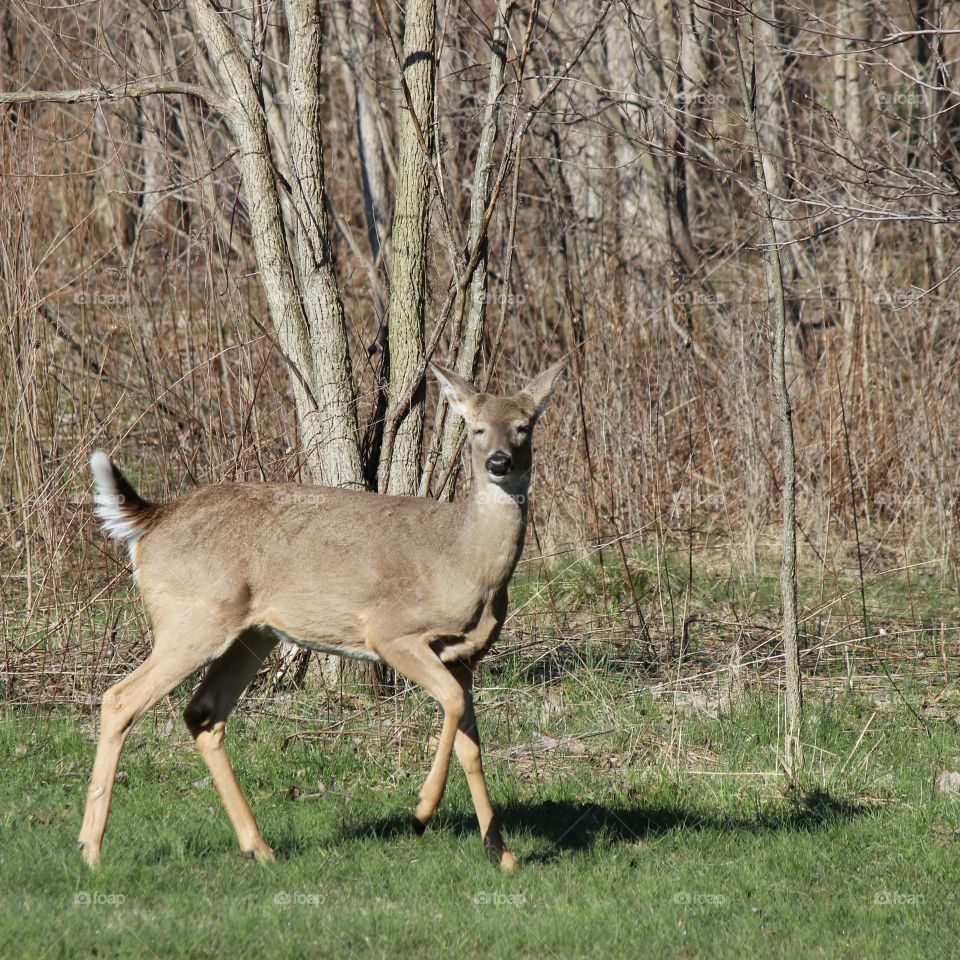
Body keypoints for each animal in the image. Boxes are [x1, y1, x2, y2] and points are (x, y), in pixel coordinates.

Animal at [77, 360, 565, 872]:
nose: (499, 462)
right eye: (476, 429)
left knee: (203, 712)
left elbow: (472, 744)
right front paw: (421, 812)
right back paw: (91, 848)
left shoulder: (466, 656)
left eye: (523, 427)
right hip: (192, 618)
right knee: (120, 699)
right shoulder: (390, 631)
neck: (465, 562)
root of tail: (152, 520)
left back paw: (259, 847)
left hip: (252, 632)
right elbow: (450, 703)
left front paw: (502, 853)